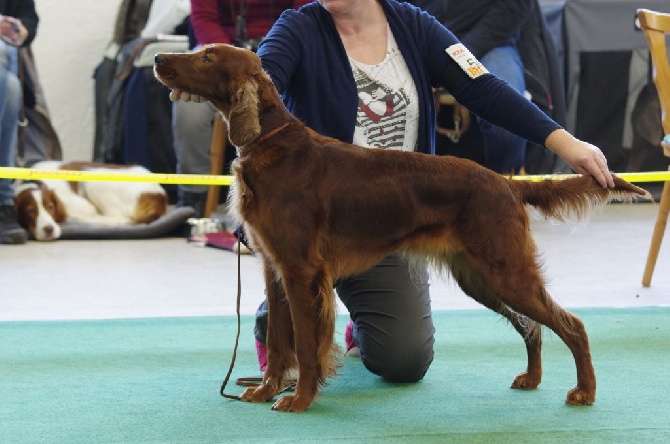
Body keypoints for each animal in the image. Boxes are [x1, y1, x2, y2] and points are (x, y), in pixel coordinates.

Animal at [13, 161, 167, 241]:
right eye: (30, 212)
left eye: (50, 207)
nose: (49, 229)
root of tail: (160, 196)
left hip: (94, 180)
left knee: (119, 218)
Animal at [155, 43, 648, 412]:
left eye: (206, 58)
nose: (159, 59)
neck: (272, 142)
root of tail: (506, 182)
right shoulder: (275, 269)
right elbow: (279, 341)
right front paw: (265, 390)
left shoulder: (301, 271)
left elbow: (308, 343)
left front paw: (299, 399)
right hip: (481, 277)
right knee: (533, 326)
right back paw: (532, 378)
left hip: (505, 270)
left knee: (571, 324)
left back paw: (584, 392)